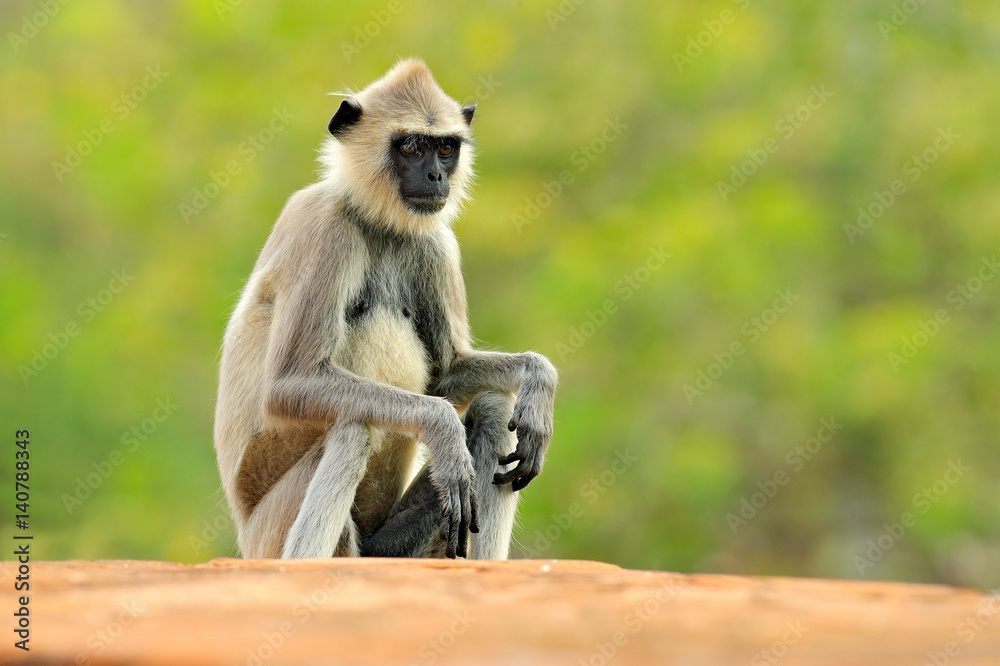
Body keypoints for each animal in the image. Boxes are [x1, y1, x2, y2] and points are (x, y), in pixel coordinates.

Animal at [213, 59, 557, 560]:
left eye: (445, 149)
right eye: (411, 147)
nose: (436, 178)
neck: (376, 222)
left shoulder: (435, 243)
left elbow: (446, 375)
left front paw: (538, 377)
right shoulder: (323, 226)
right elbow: (289, 384)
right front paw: (443, 429)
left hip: (393, 548)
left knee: (494, 407)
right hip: (271, 534)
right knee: (352, 428)